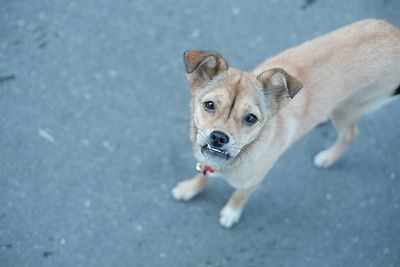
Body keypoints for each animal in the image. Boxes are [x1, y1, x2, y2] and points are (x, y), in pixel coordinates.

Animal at [171, 19, 400, 228]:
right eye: (209, 105)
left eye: (251, 118)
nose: (218, 137)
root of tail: (394, 32)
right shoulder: (208, 161)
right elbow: (203, 176)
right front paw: (190, 188)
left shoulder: (253, 181)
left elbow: (239, 196)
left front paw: (231, 213)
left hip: (349, 109)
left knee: (350, 134)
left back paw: (328, 157)